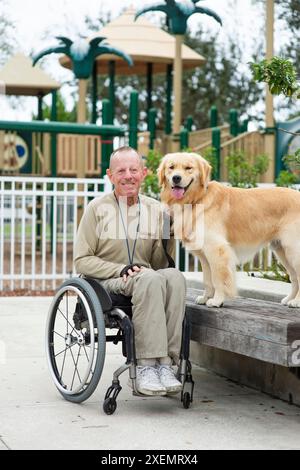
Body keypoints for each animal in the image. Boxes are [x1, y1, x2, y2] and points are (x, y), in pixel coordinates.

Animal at [158, 151, 300, 308]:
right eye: (171, 167)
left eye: (188, 168)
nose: (176, 178)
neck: (197, 199)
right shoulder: (204, 255)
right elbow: (207, 280)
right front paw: (205, 297)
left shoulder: (216, 250)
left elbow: (218, 279)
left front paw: (217, 300)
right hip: (282, 251)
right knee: (294, 277)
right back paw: (289, 299)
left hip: (293, 249)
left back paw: (296, 301)